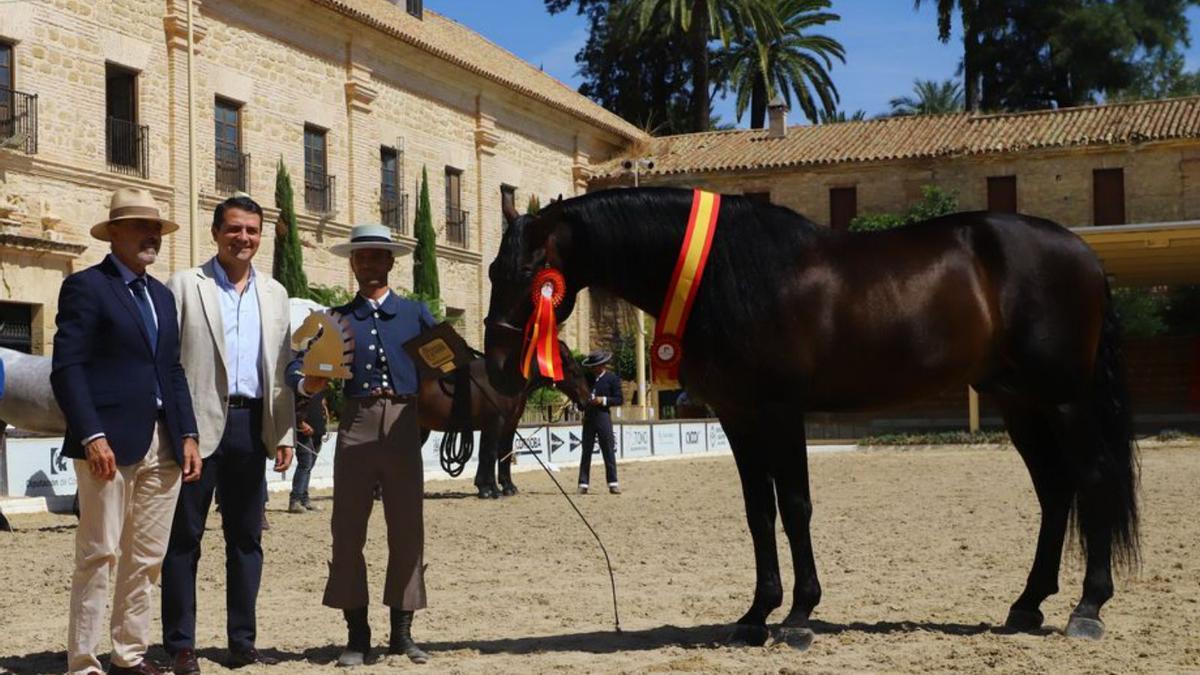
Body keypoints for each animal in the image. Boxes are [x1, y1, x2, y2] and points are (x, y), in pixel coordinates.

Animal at [422, 341, 590, 494]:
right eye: (575, 372)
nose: (587, 400)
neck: (505, 380)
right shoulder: (495, 423)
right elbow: (491, 453)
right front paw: (491, 489)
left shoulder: (509, 424)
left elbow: (502, 452)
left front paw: (504, 487)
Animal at [482, 187, 1137, 648]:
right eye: (492, 271)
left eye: (531, 272)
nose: (498, 367)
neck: (726, 274)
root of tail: (1083, 253)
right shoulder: (739, 417)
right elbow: (759, 513)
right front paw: (755, 614)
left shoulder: (779, 411)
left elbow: (795, 507)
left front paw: (798, 615)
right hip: (1019, 401)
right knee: (1055, 492)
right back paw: (1028, 604)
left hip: (1065, 400)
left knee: (1092, 481)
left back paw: (1087, 608)